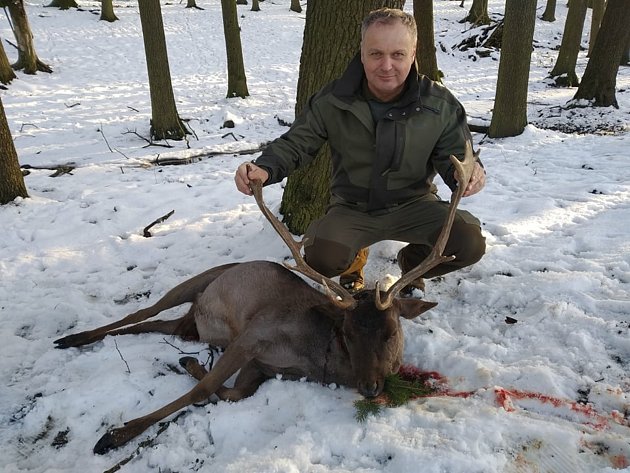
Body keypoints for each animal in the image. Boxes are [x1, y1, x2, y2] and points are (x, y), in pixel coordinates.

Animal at [55, 141, 478, 454]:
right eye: (347, 334)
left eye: (391, 333)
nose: (371, 387)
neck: (315, 360)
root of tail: (193, 316)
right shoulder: (254, 334)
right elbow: (203, 391)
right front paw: (116, 435)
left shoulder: (263, 368)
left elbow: (232, 394)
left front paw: (190, 364)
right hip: (200, 280)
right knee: (141, 312)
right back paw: (72, 338)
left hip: (187, 323)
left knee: (157, 324)